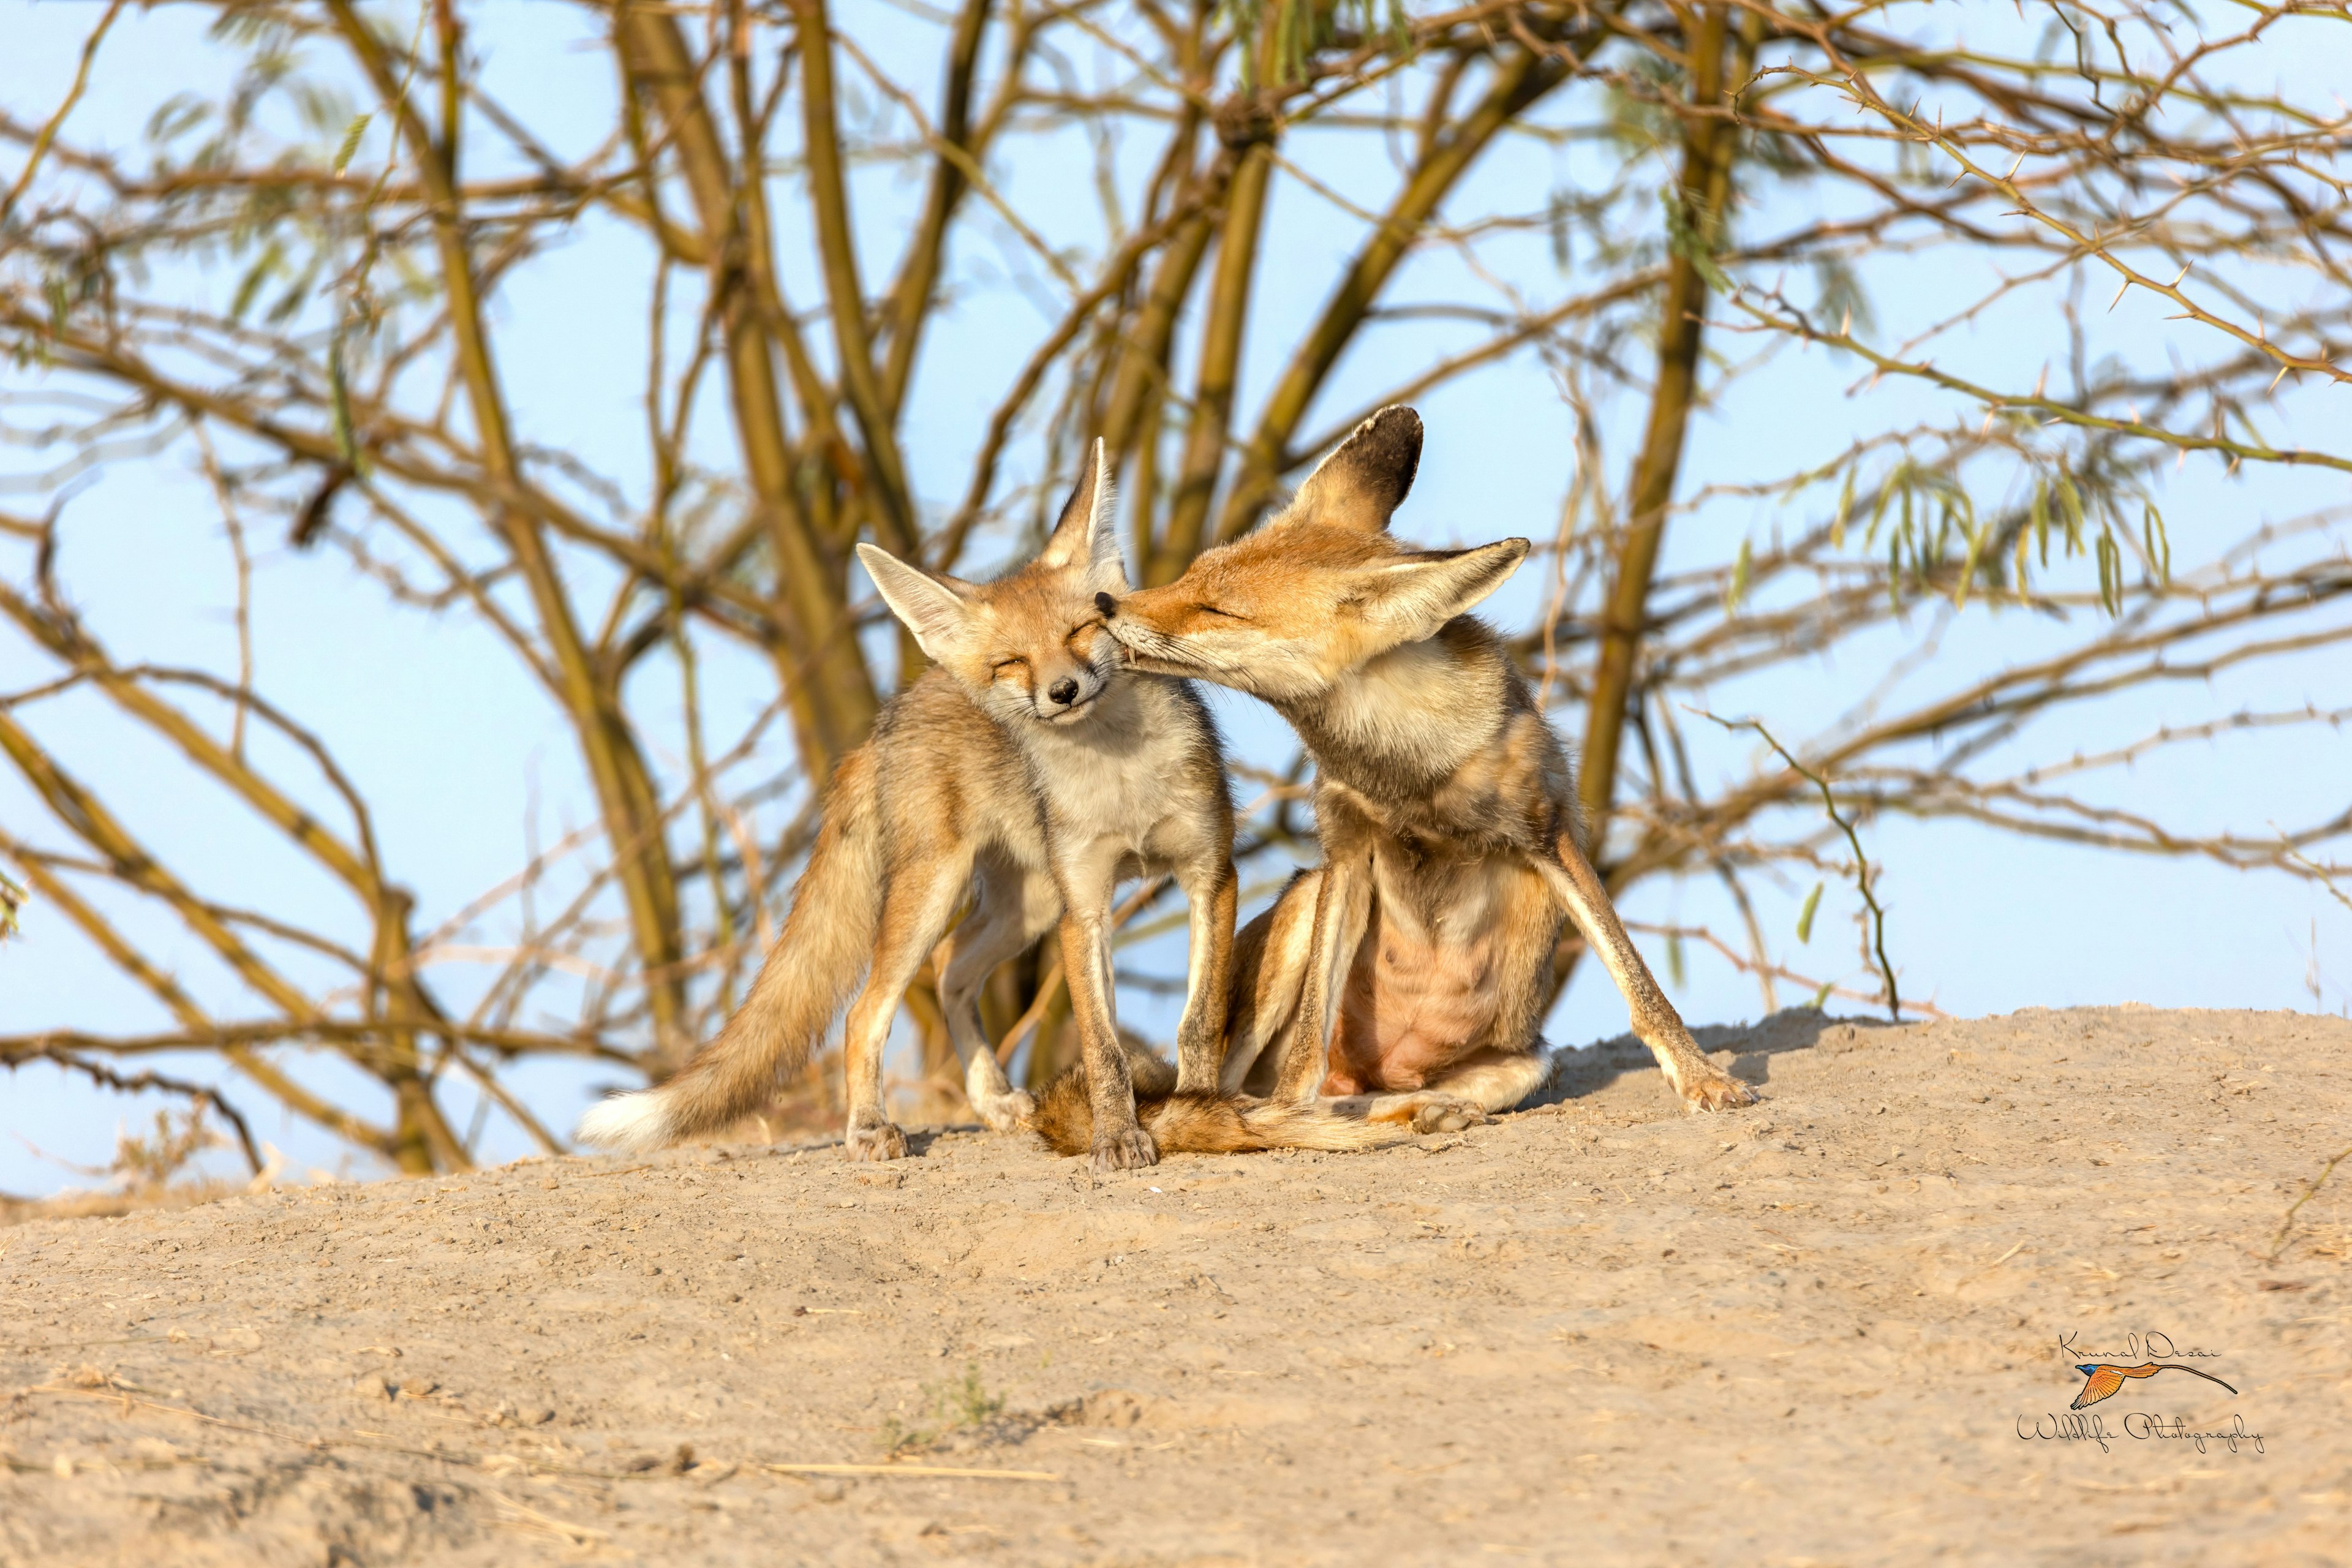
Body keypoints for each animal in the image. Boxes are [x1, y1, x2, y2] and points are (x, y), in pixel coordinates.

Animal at [581, 439, 1392, 1166]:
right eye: (1012, 663)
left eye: (1084, 628)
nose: (1061, 691)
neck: (1122, 782)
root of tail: (889, 717)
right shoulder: (1084, 905)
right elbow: (1102, 1047)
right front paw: (1120, 1136)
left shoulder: (1208, 874)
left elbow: (1198, 1023)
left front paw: (1196, 1107)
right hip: (939, 891)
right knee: (867, 1009)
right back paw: (870, 1128)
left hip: (1021, 905)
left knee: (951, 974)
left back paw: (994, 1102)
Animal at [1091, 404, 1759, 1128]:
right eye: (1191, 573)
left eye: (1218, 609)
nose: (1104, 604)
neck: (1407, 778)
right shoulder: (1346, 853)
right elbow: (1308, 1040)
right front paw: (1291, 1114)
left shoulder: (1545, 833)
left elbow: (1640, 983)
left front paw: (1701, 1075)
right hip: (1301, 904)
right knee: (1245, 1080)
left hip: (1527, 1065)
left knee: (1383, 1096)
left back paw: (1424, 1110)